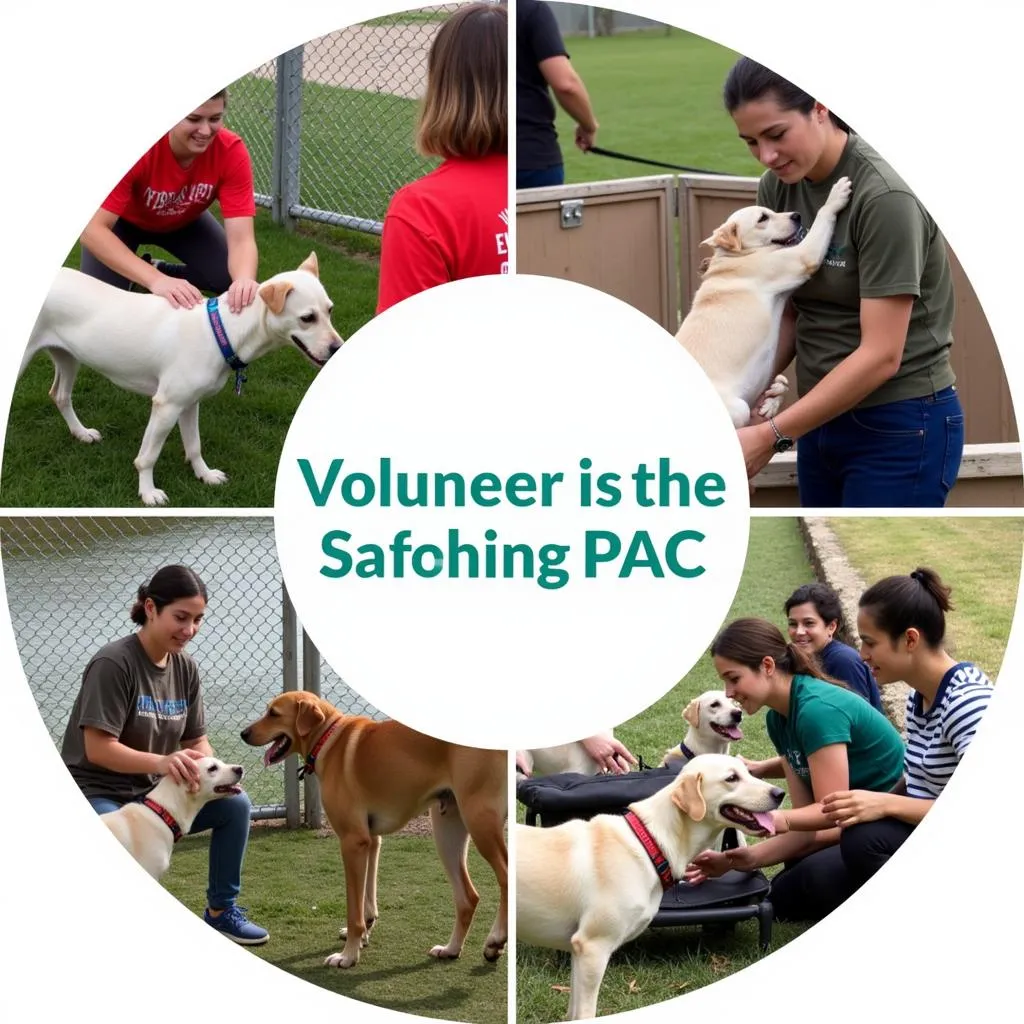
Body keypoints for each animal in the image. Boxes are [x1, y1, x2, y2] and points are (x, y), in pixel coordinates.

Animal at [243, 696, 507, 966]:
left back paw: (496, 940)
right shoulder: (371, 840)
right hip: (448, 832)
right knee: (468, 897)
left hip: (480, 823)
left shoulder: (352, 842)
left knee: (505, 878)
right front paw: (363, 934)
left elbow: (354, 909)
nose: (243, 733)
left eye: (274, 713)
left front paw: (348, 955)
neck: (328, 737)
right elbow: (367, 897)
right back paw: (451, 949)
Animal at [520, 753, 782, 1015]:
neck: (650, 843)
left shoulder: (578, 952)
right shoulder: (592, 948)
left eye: (748, 772)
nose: (779, 793)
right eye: (731, 778)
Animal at [675, 178, 851, 425]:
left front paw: (772, 400)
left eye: (771, 211)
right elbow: (823, 215)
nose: (796, 215)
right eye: (762, 218)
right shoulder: (801, 258)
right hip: (737, 408)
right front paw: (836, 194)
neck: (736, 256)